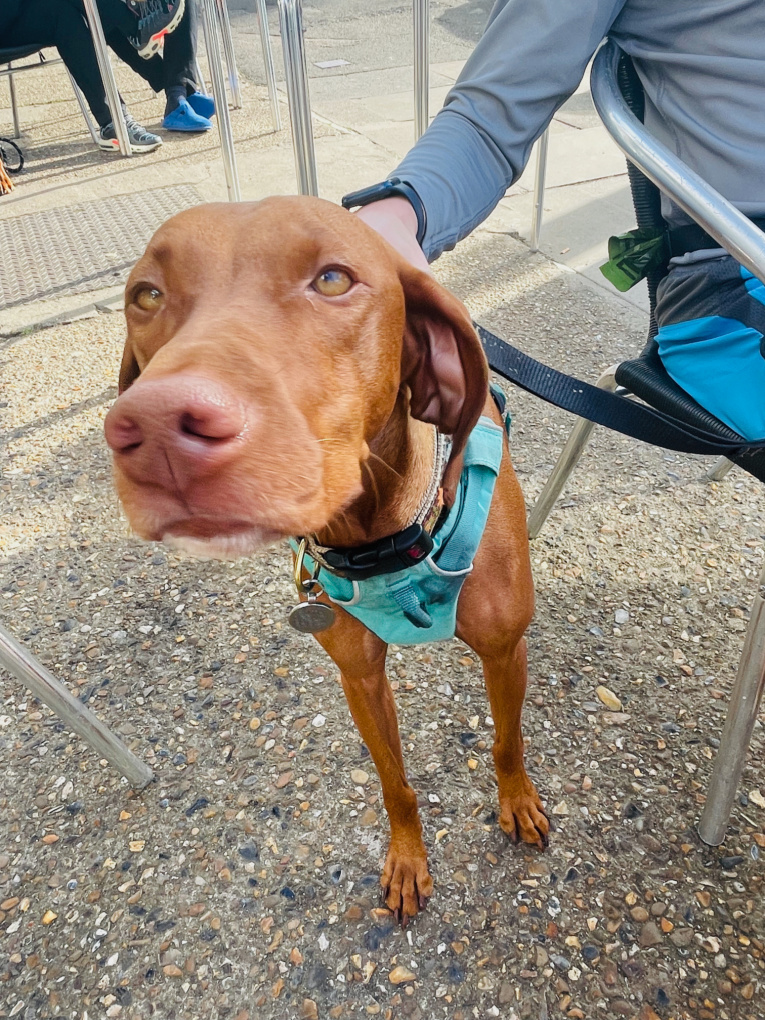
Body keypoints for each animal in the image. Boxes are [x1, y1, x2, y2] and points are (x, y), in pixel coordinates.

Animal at [104, 196, 549, 924]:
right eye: (146, 294)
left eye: (333, 280)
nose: (159, 428)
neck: (387, 538)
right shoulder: (358, 679)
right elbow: (395, 783)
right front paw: (407, 859)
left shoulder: (505, 649)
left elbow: (507, 741)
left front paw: (516, 802)